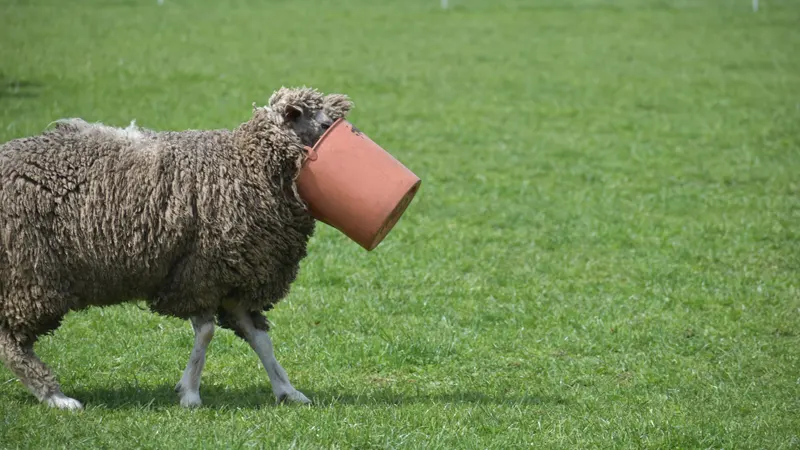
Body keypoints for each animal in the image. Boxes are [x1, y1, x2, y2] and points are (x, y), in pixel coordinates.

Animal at [0, 86, 354, 410]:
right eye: (325, 125)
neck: (246, 164)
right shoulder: (201, 273)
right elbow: (207, 332)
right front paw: (190, 393)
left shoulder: (233, 280)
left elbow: (260, 339)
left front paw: (288, 391)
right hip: (29, 274)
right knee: (11, 340)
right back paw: (55, 396)